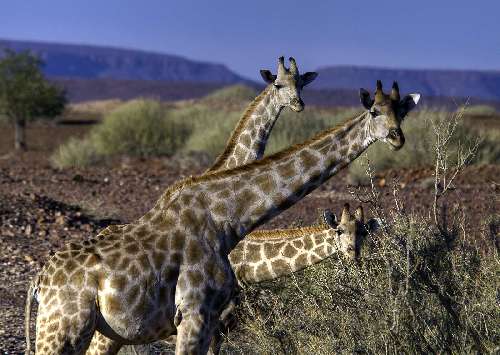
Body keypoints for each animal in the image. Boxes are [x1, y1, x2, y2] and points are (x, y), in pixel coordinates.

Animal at [25, 80, 420, 355]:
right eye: (375, 112)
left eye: (401, 113)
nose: (397, 138)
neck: (227, 220)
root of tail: (39, 284)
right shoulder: (196, 315)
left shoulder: (212, 319)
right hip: (66, 330)